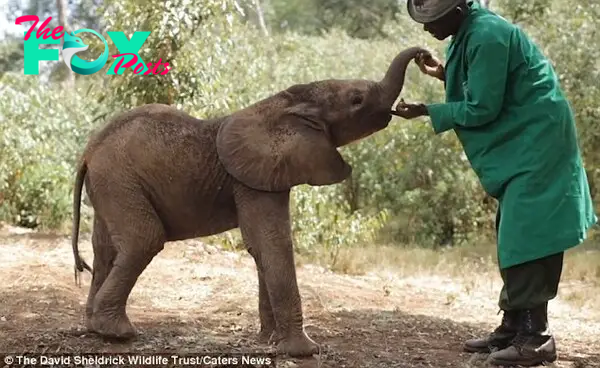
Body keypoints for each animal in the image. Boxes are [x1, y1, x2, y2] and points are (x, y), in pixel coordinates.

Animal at [71, 45, 426, 356]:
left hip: (110, 184)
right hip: (119, 179)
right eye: (356, 99)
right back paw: (118, 333)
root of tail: (89, 151)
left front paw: (270, 341)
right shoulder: (255, 179)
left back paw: (93, 328)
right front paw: (304, 351)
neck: (288, 103)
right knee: (144, 239)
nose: (425, 54)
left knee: (105, 249)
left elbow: (260, 247)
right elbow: (273, 244)